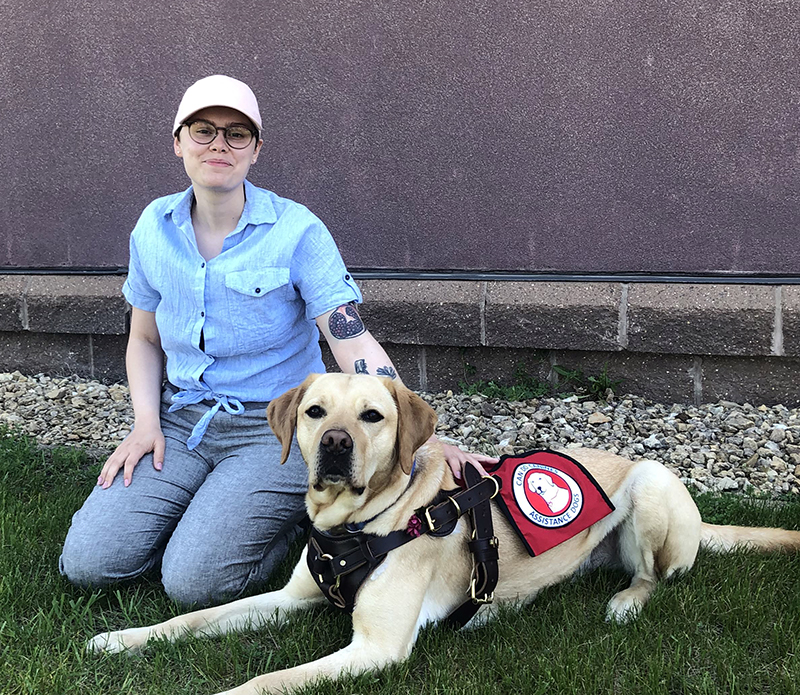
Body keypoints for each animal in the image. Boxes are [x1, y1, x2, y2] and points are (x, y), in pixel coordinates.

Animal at [89, 376, 800, 695]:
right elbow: (193, 620)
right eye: (316, 412)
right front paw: (123, 639)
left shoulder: (376, 649)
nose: (335, 445)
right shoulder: (289, 600)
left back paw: (626, 601)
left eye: (372, 416)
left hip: (652, 483)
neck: (362, 524)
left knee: (653, 575)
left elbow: (266, 682)